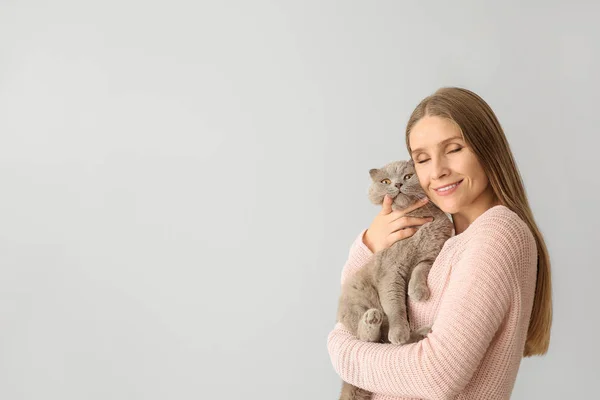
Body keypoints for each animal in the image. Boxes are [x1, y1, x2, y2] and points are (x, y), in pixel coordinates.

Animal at [336, 159, 452, 400]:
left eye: (408, 176)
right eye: (385, 181)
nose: (397, 184)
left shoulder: (430, 254)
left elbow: (420, 270)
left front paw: (418, 292)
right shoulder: (391, 271)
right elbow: (396, 306)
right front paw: (399, 331)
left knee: (384, 340)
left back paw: (420, 333)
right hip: (359, 300)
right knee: (368, 337)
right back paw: (373, 320)